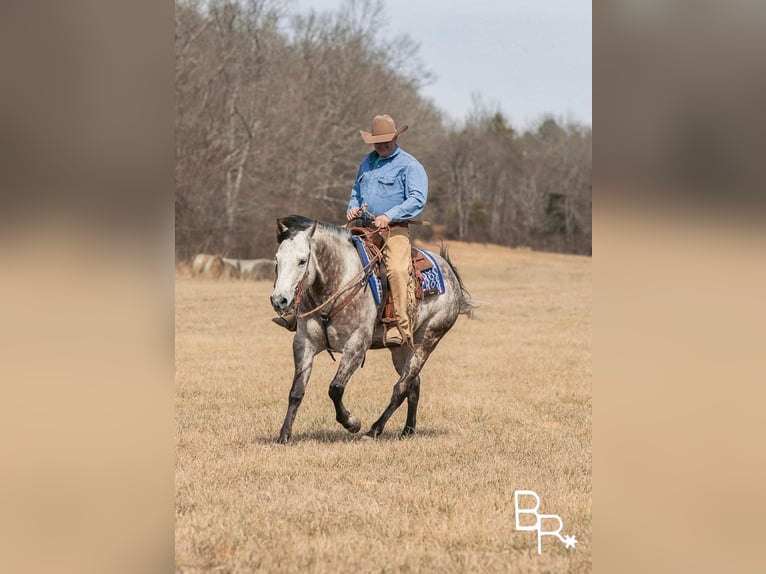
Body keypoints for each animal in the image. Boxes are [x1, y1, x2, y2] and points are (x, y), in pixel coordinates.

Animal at [268, 216, 474, 446]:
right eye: (277, 259)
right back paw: (408, 430)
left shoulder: (356, 346)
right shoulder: (304, 343)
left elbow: (335, 389)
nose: (279, 300)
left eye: (302, 260)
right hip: (401, 348)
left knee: (401, 387)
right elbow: (296, 391)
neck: (337, 283)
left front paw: (352, 423)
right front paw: (284, 435)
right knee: (413, 384)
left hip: (428, 339)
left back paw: (374, 430)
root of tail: (449, 271)